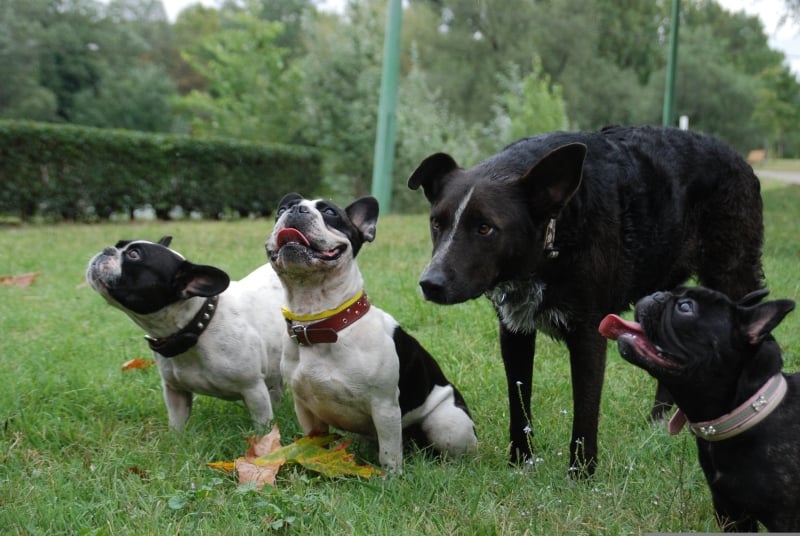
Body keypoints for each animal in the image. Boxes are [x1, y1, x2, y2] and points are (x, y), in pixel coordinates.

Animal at [410, 124, 764, 474]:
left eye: (485, 228)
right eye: (436, 223)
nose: (430, 284)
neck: (555, 234)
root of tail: (738, 158)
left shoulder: (589, 333)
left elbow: (585, 411)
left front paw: (581, 474)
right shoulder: (514, 331)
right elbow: (519, 404)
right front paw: (520, 464)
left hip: (734, 279)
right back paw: (657, 423)